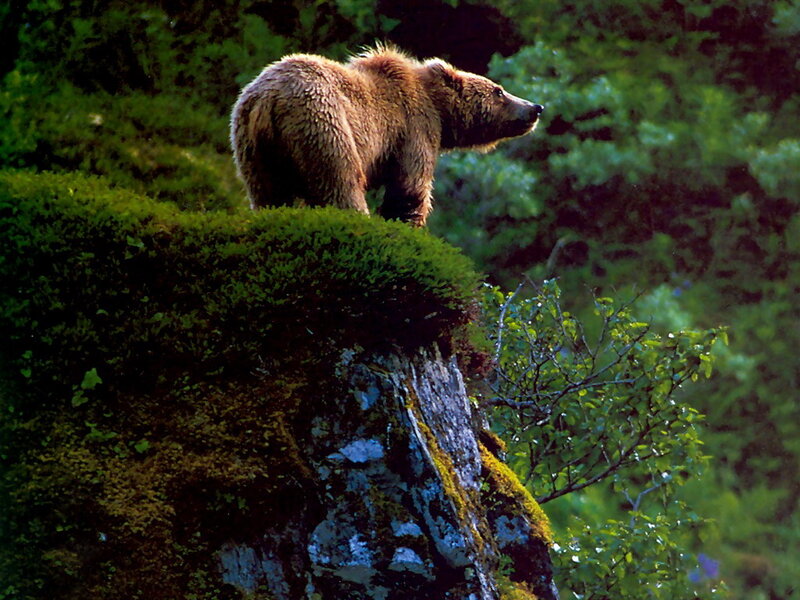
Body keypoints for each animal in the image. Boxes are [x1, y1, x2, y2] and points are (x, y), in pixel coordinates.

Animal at [230, 46, 543, 227]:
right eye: (499, 91)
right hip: (324, 122)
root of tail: (269, 99)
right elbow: (410, 187)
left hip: (252, 147)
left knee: (267, 193)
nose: (535, 107)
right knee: (341, 181)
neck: (439, 111)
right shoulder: (414, 127)